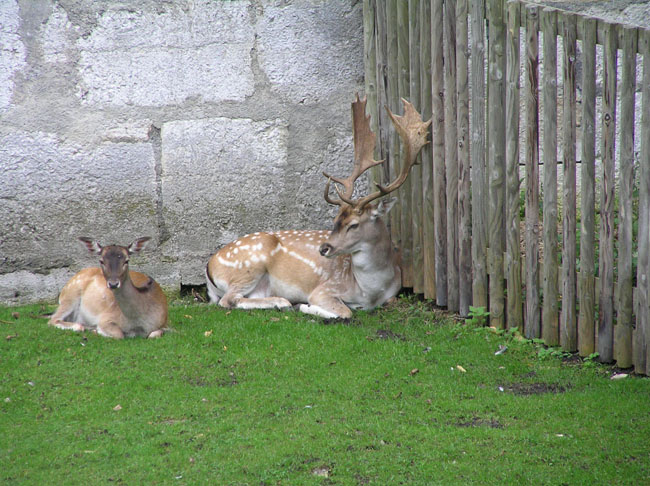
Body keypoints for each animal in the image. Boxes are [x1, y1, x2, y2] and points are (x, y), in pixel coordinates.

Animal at [205, 95, 428, 318]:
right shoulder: (325, 288)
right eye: (335, 220)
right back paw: (283, 302)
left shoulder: (392, 294)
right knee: (228, 300)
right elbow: (345, 312)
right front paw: (306, 306)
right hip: (248, 266)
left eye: (354, 224)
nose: (324, 248)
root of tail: (210, 267)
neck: (371, 292)